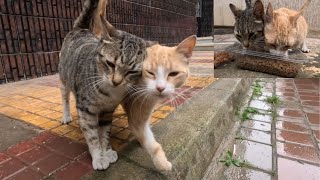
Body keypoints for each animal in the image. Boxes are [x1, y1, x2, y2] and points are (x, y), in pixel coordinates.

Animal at [59, 0, 156, 170]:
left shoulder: (108, 111)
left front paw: (107, 150)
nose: (116, 81)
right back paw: (66, 115)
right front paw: (98, 156)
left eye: (132, 71)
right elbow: (92, 136)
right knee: (64, 97)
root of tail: (81, 29)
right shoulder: (86, 110)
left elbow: (105, 132)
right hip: (64, 78)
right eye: (110, 63)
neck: (109, 92)